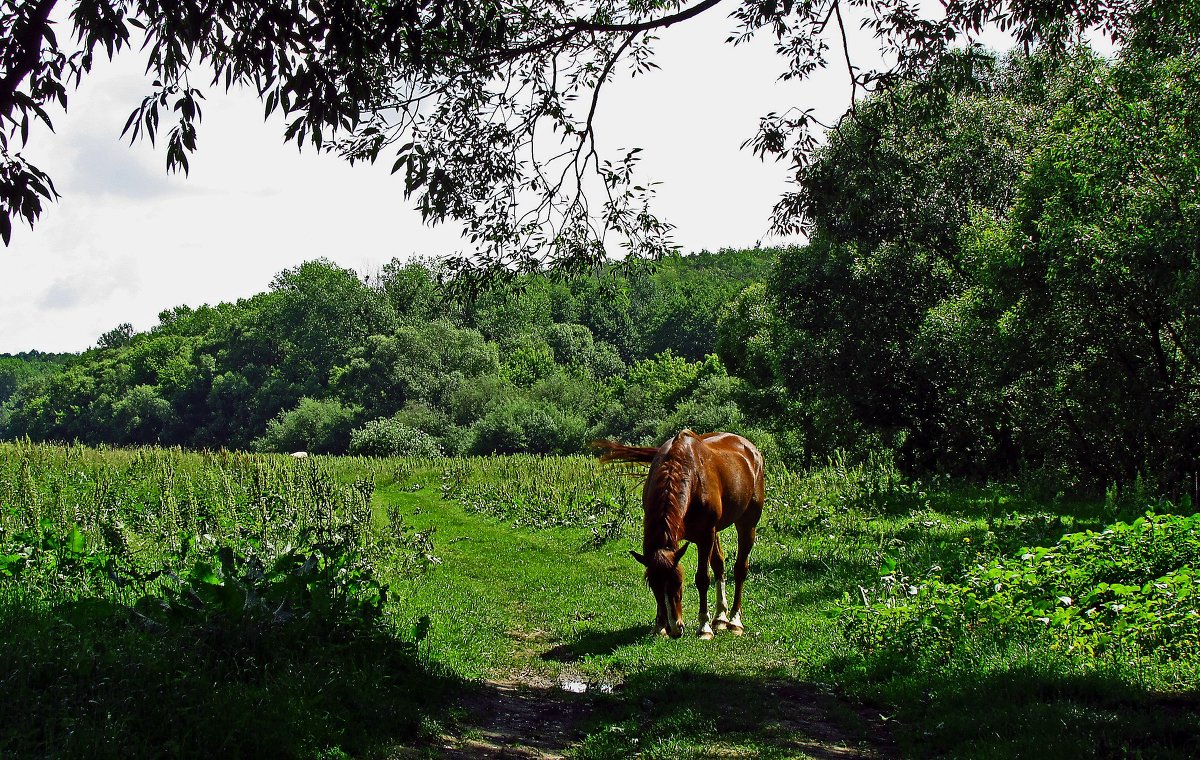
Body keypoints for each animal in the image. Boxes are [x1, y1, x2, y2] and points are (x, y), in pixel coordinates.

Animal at [592, 429, 763, 638]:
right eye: (653, 586)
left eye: (678, 584)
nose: (674, 628)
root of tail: (751, 449)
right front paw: (659, 625)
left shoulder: (705, 536)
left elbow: (702, 578)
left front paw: (703, 627)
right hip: (716, 531)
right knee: (719, 565)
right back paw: (720, 618)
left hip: (747, 523)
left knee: (740, 569)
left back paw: (735, 621)